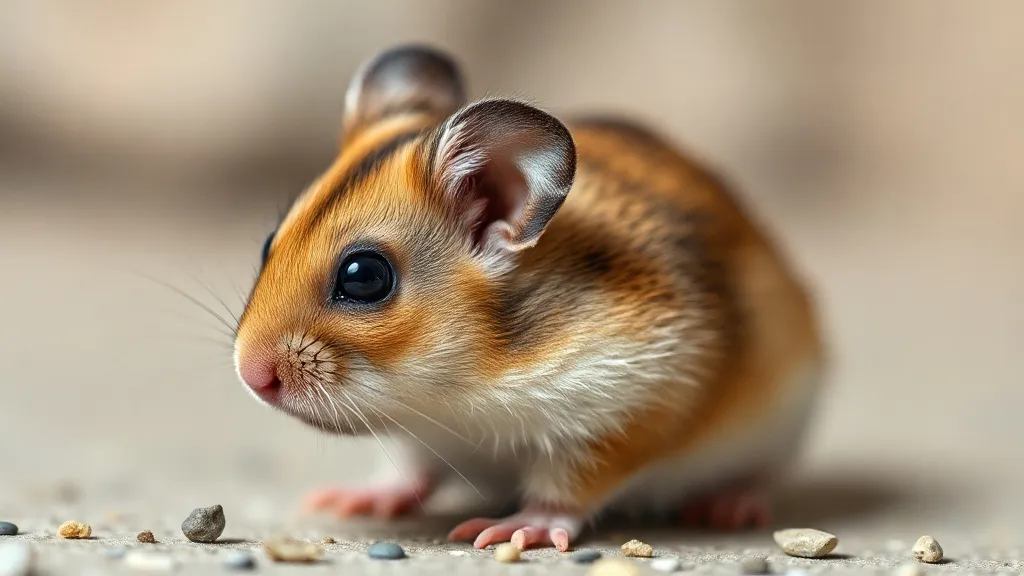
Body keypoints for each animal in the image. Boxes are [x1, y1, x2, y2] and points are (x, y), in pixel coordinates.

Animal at [233, 44, 825, 551]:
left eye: (364, 277)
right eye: (267, 242)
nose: (250, 375)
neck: (460, 384)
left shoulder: (633, 404)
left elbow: (566, 488)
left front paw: (509, 531)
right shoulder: (422, 436)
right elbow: (412, 468)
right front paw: (346, 500)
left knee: (761, 474)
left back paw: (729, 507)